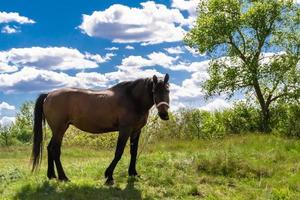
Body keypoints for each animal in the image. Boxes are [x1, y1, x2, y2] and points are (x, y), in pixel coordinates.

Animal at [31, 73, 170, 184]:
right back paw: (63, 177)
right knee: (55, 150)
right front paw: (109, 176)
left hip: (58, 130)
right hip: (60, 129)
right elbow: (118, 152)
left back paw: (52, 175)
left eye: (168, 90)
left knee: (50, 148)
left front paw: (133, 173)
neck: (132, 98)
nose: (164, 114)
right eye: (154, 91)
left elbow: (134, 152)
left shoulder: (136, 131)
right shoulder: (125, 130)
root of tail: (49, 95)